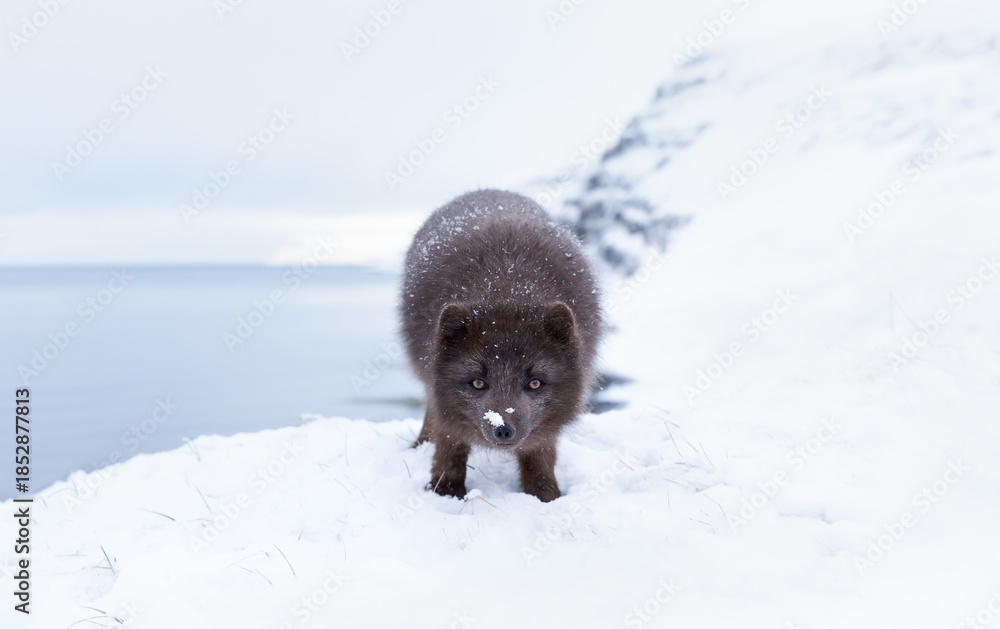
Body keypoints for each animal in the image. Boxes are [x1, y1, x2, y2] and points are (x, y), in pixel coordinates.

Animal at [400, 189, 603, 502]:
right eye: (478, 383)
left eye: (534, 383)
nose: (503, 430)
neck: (507, 286)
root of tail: (487, 191)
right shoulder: (442, 395)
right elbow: (450, 442)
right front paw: (445, 492)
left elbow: (540, 453)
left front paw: (545, 496)